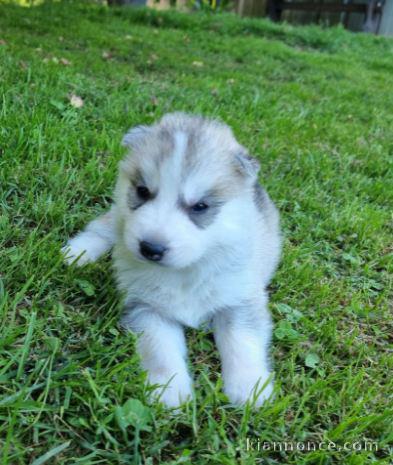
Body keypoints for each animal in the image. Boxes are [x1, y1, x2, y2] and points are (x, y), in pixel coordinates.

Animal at [62, 112, 280, 406]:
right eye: (142, 191)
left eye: (200, 206)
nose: (150, 248)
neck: (186, 270)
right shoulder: (147, 307)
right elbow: (160, 350)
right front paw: (170, 390)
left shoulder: (240, 299)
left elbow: (242, 340)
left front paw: (249, 388)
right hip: (119, 217)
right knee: (105, 226)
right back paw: (78, 252)